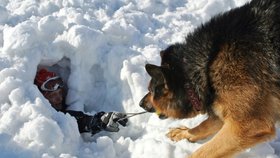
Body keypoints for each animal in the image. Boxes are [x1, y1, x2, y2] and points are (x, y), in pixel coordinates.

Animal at [139, 0, 280, 157]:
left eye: (151, 91)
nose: (140, 103)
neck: (207, 65)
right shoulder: (222, 108)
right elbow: (203, 126)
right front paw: (184, 133)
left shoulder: (249, 124)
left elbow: (202, 152)